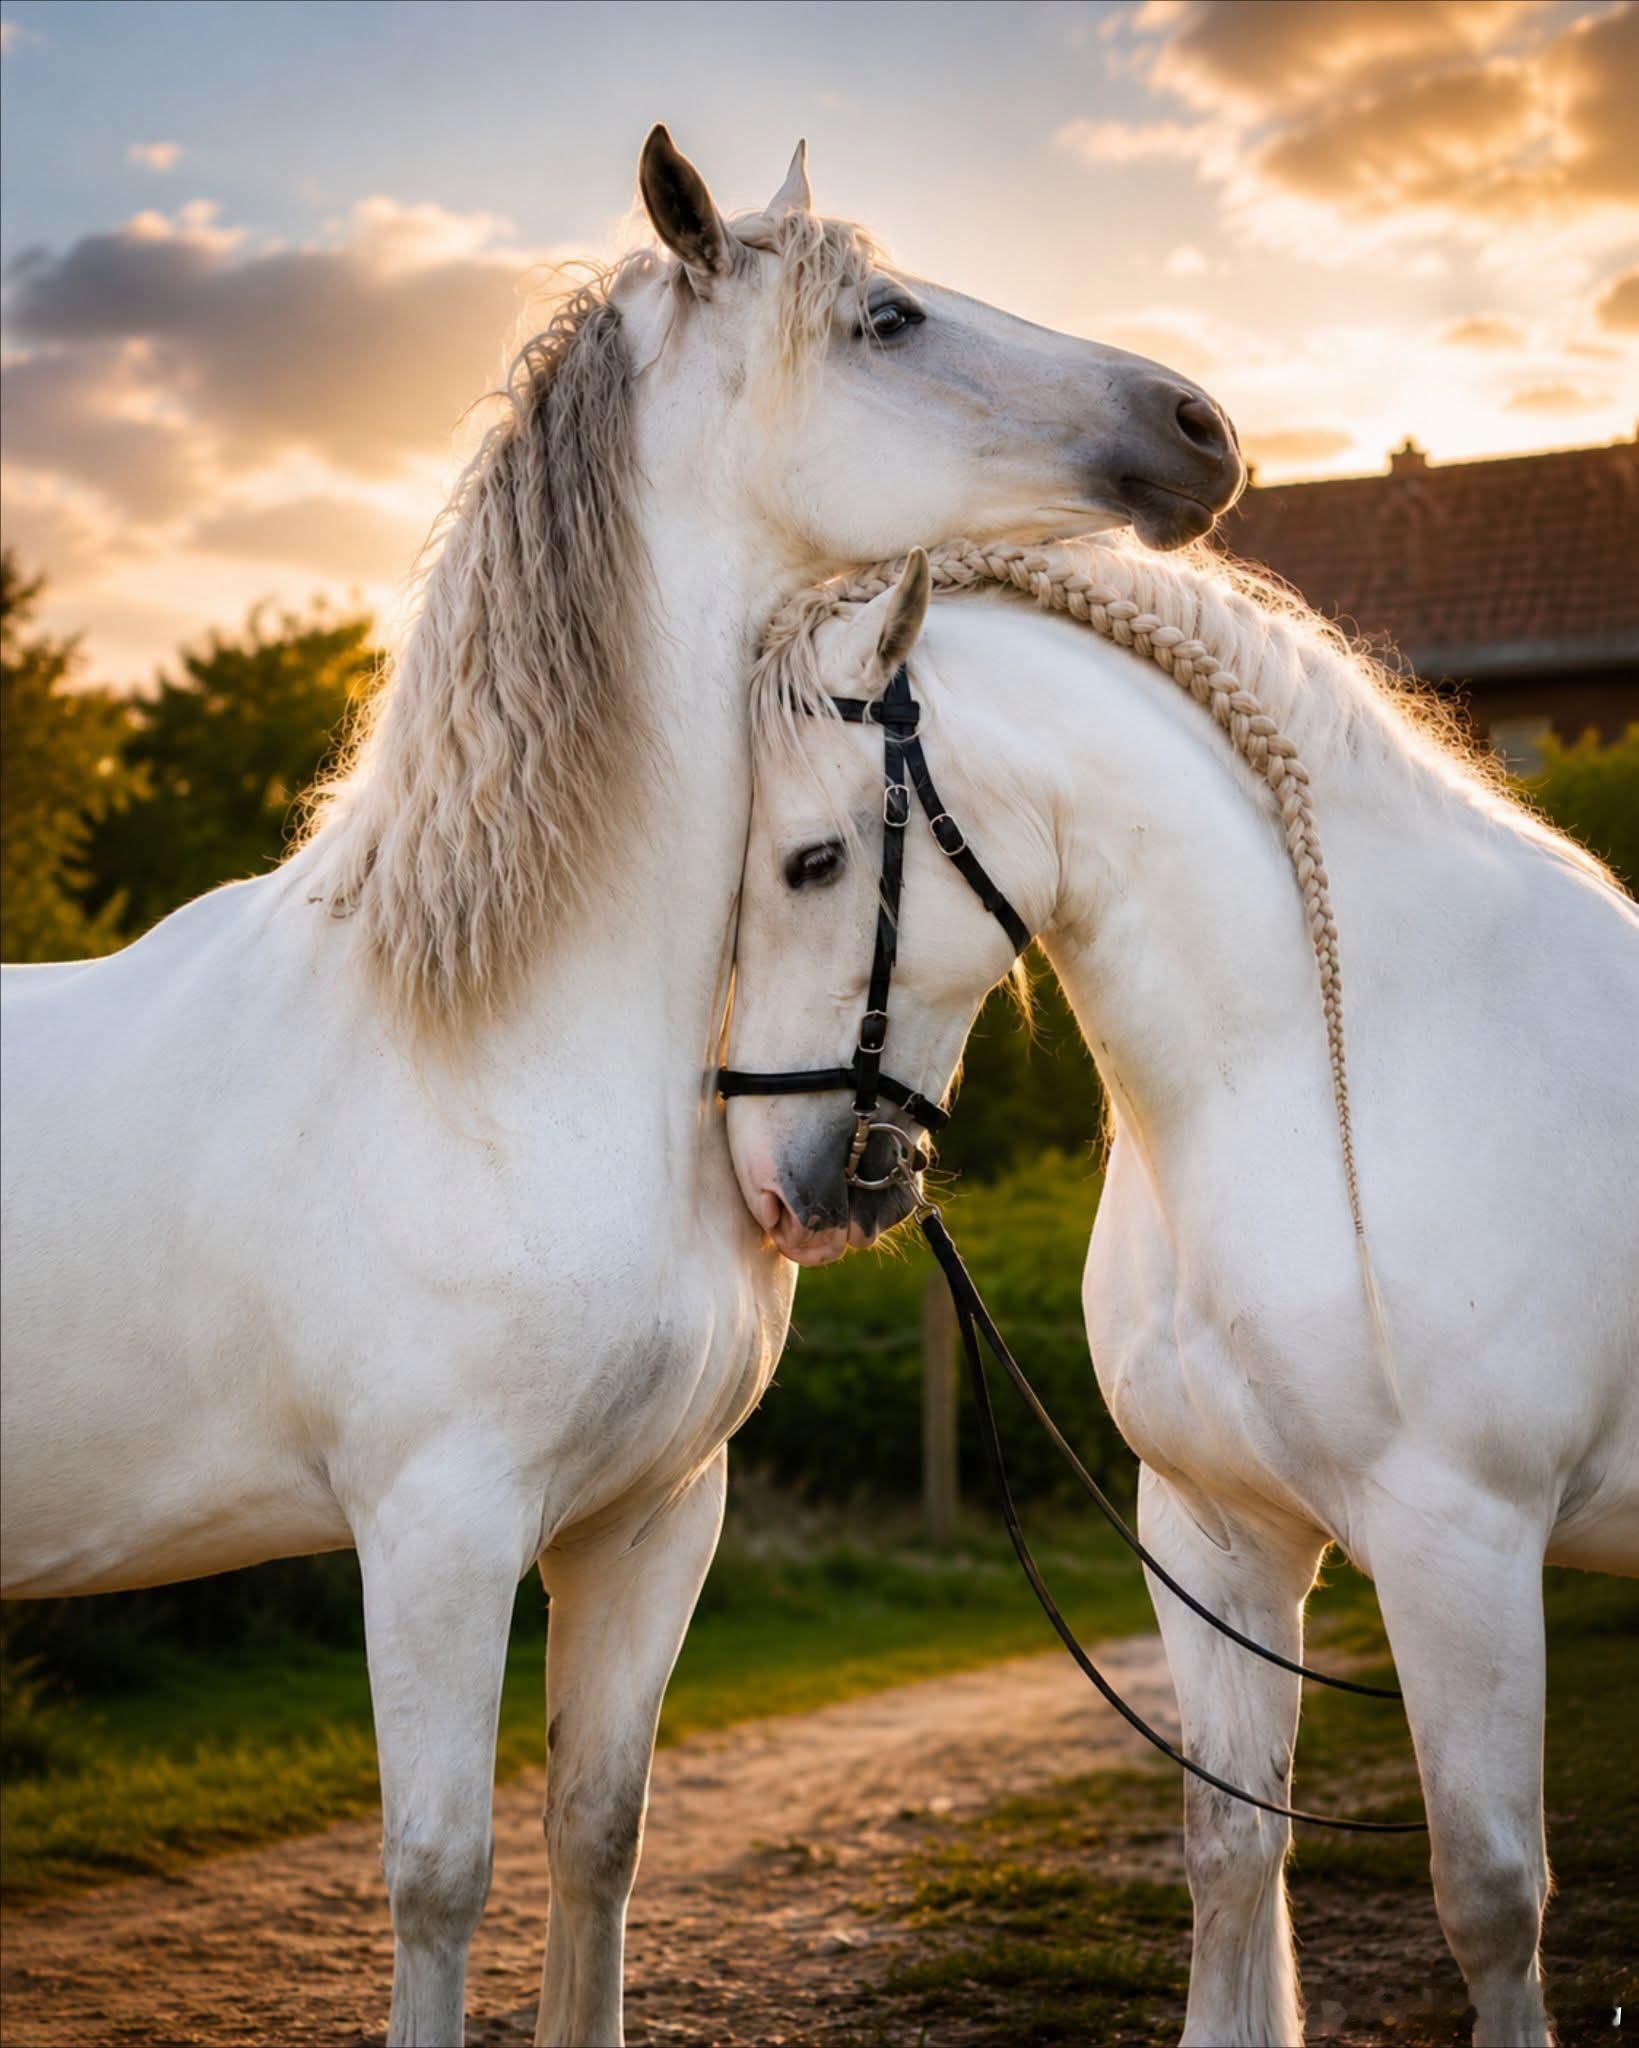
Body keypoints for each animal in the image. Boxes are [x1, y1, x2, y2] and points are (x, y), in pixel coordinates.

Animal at [0, 132, 1244, 2045]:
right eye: (887, 318)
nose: (1197, 425)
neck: (493, 1045)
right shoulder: (434, 1530)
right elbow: (440, 1874)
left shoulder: (650, 1521)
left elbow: (596, 1831)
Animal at [722, 542, 1639, 2048]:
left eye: (811, 861)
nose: (774, 1189)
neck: (1316, 1077)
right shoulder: (1212, 1534)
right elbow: (1230, 1848)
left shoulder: (1464, 1548)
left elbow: (1489, 1895)